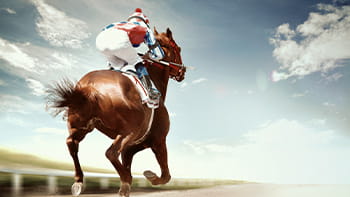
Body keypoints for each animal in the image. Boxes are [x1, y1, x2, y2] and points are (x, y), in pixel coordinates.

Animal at [46, 28, 186, 197]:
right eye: (178, 49)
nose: (183, 71)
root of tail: (88, 87)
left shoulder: (134, 143)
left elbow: (127, 160)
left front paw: (126, 187)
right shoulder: (157, 139)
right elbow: (165, 175)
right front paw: (149, 176)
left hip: (81, 126)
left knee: (71, 143)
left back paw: (79, 181)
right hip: (128, 131)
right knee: (110, 153)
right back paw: (126, 178)